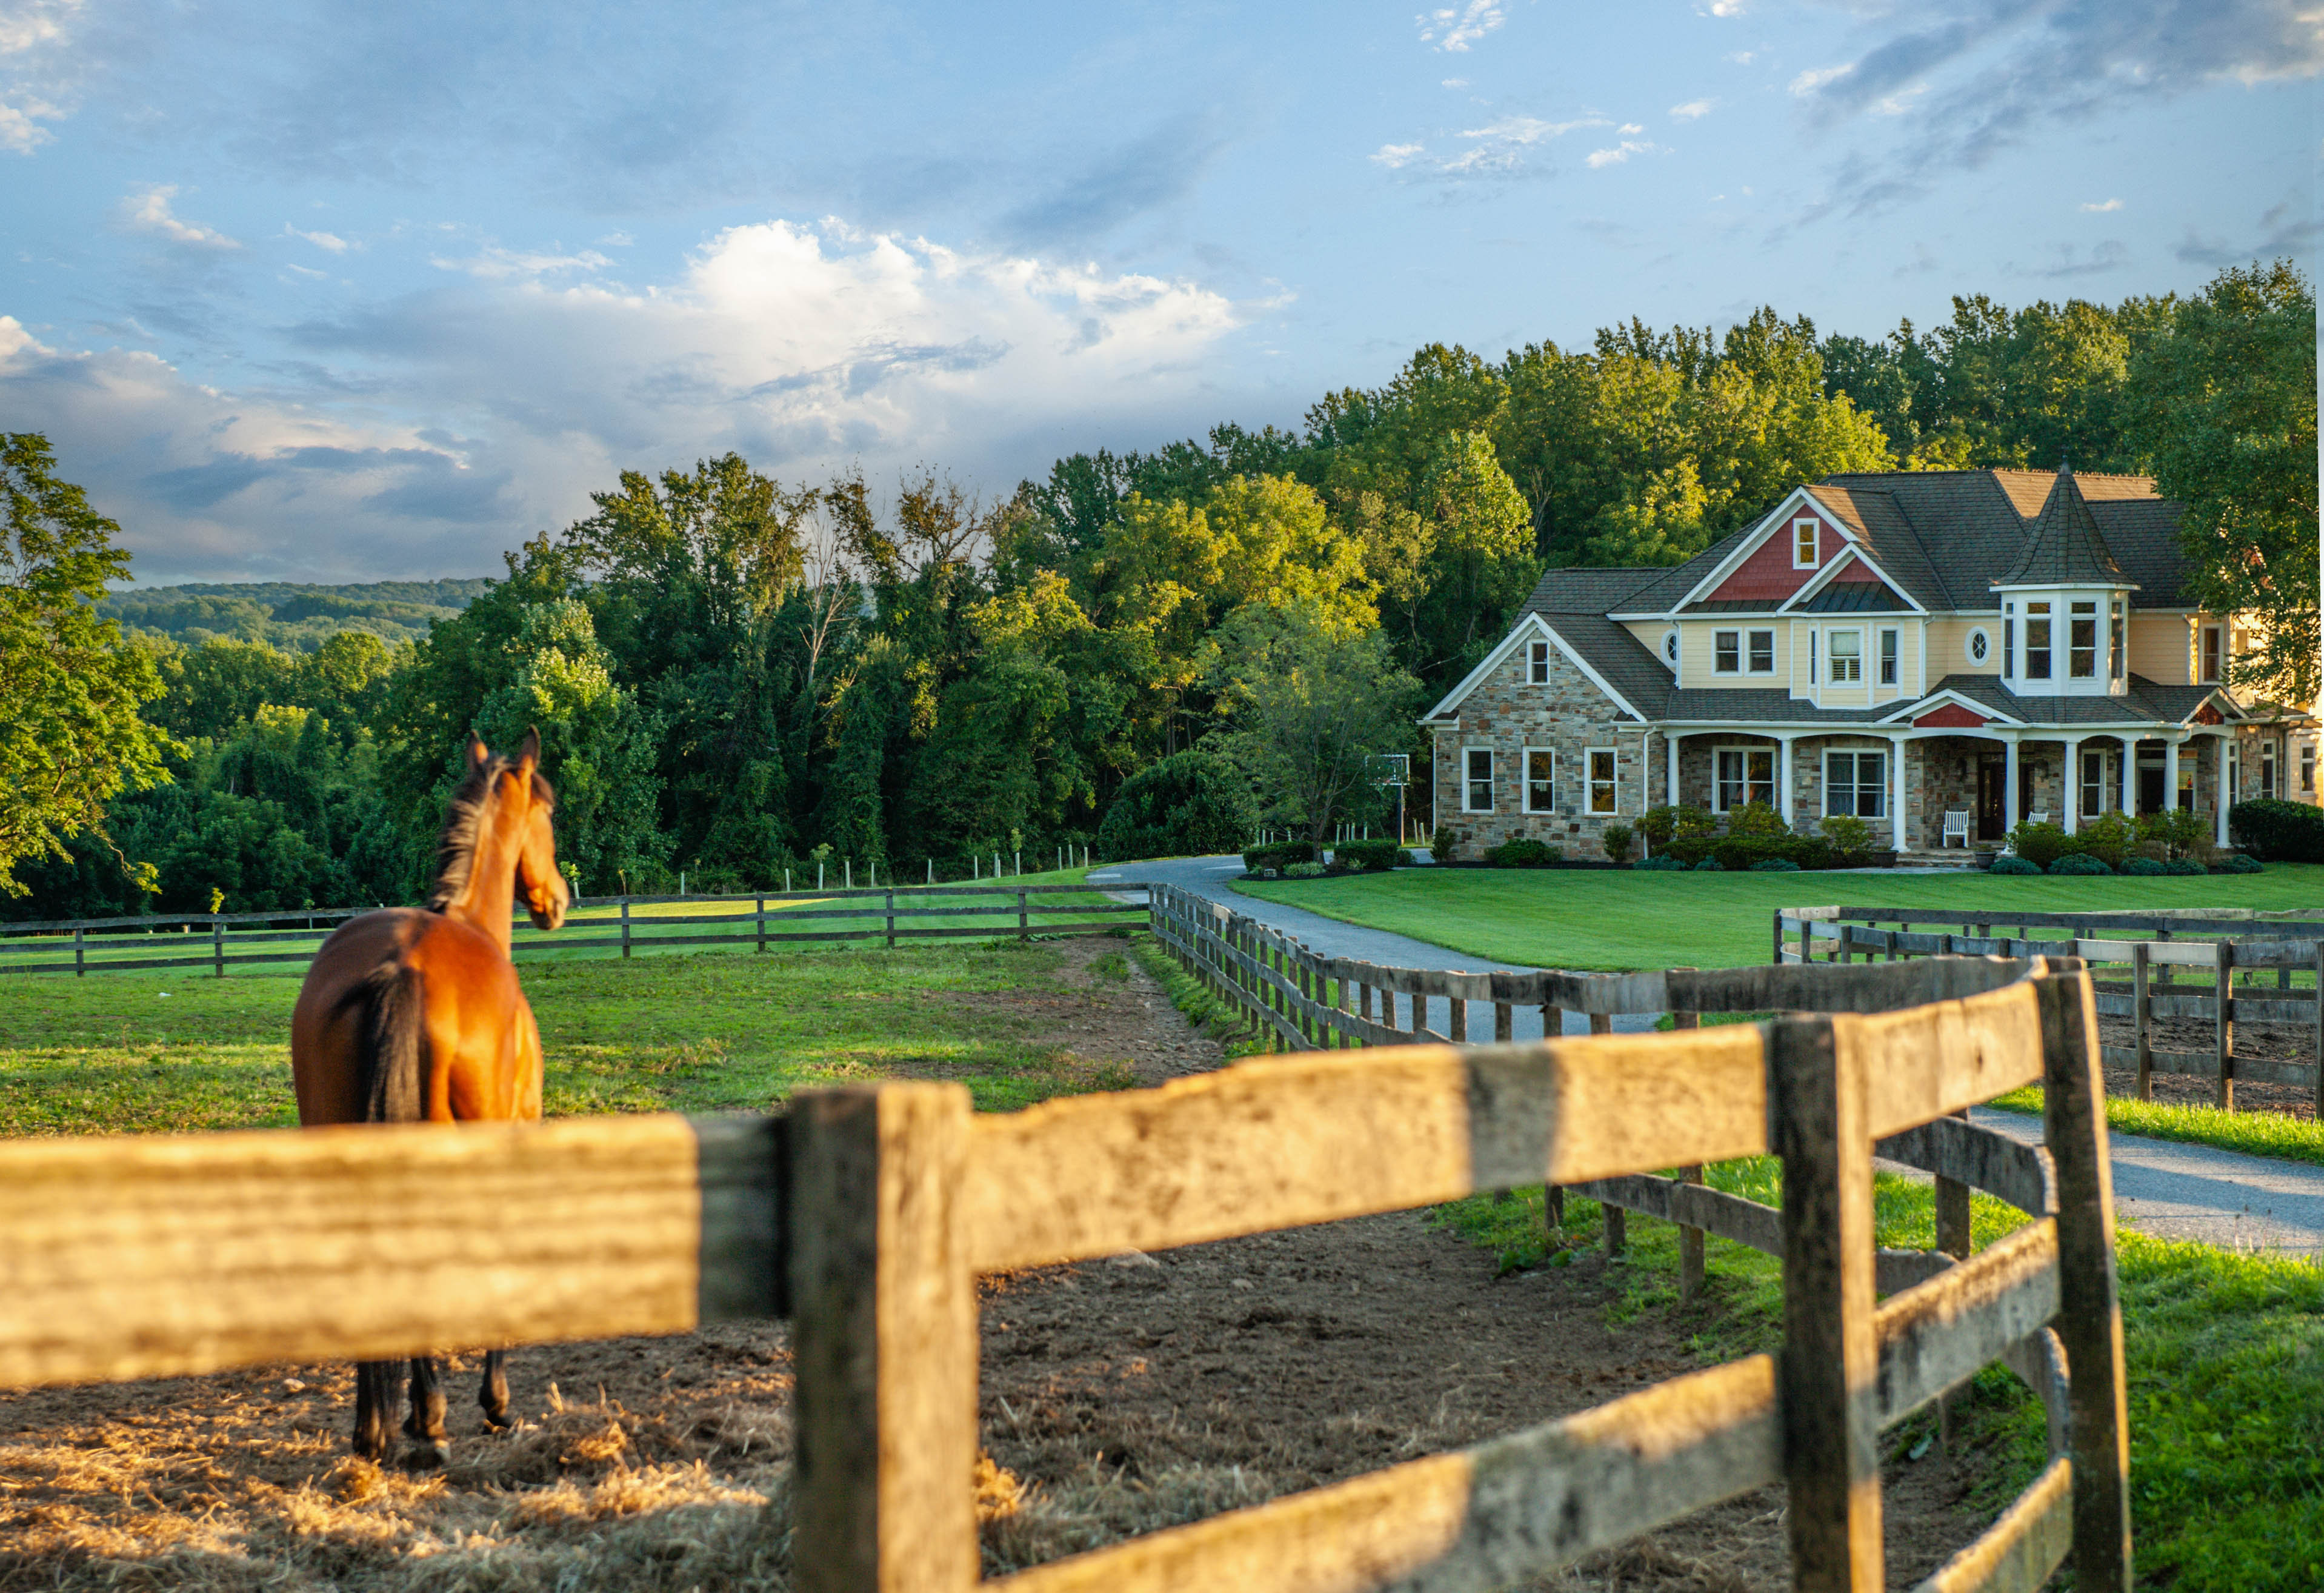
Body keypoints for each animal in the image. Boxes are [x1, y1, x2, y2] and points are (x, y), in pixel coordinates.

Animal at [288, 725, 569, 1460]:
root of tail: (403, 965)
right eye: (549, 814)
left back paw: (375, 1429)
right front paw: (494, 1402)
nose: (558, 899)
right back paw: (431, 1415)